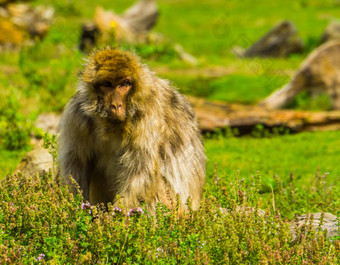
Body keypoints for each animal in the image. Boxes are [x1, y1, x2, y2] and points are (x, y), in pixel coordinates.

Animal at [58, 47, 206, 212]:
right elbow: (76, 164)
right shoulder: (76, 114)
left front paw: (116, 216)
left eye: (125, 83)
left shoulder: (148, 113)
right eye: (107, 84)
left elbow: (140, 172)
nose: (116, 105)